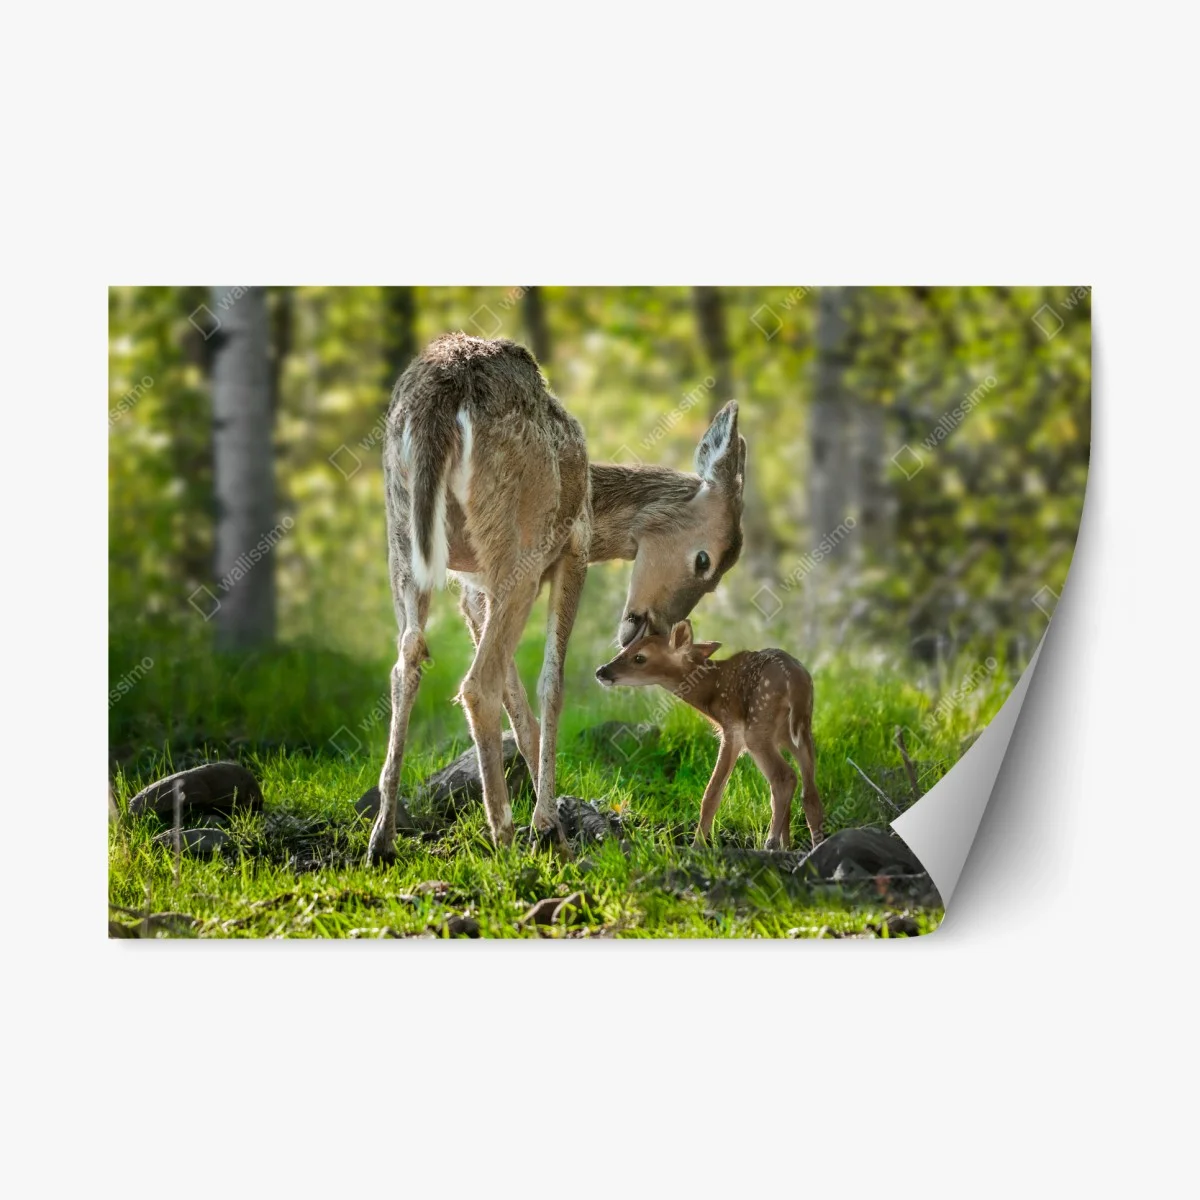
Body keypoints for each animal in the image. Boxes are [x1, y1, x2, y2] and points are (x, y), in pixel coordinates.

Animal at [367, 332, 746, 864]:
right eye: (705, 562)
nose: (649, 627)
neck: (594, 501)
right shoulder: (573, 551)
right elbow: (551, 683)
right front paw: (548, 828)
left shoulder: (471, 588)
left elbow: (519, 699)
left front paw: (555, 827)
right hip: (517, 542)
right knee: (476, 684)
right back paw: (503, 836)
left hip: (402, 535)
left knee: (407, 664)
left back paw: (382, 838)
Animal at [594, 619, 825, 850]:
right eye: (625, 649)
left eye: (639, 657)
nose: (601, 671)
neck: (711, 692)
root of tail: (795, 680)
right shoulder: (777, 739)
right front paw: (787, 845)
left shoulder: (731, 730)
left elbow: (712, 792)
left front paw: (697, 846)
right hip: (802, 730)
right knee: (809, 792)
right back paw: (813, 844)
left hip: (758, 725)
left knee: (784, 778)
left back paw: (770, 842)